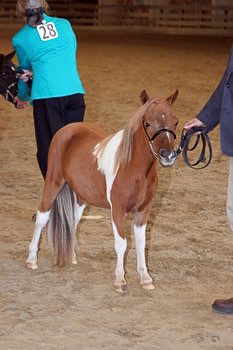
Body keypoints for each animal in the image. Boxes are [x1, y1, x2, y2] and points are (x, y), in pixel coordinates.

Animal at [26, 89, 178, 292]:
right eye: (147, 123)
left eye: (175, 121)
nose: (168, 155)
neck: (133, 167)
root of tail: (66, 130)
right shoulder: (118, 210)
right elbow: (122, 244)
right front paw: (120, 280)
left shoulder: (144, 210)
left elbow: (141, 242)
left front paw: (145, 278)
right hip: (53, 183)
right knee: (42, 217)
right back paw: (32, 259)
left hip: (82, 196)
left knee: (74, 220)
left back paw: (71, 256)